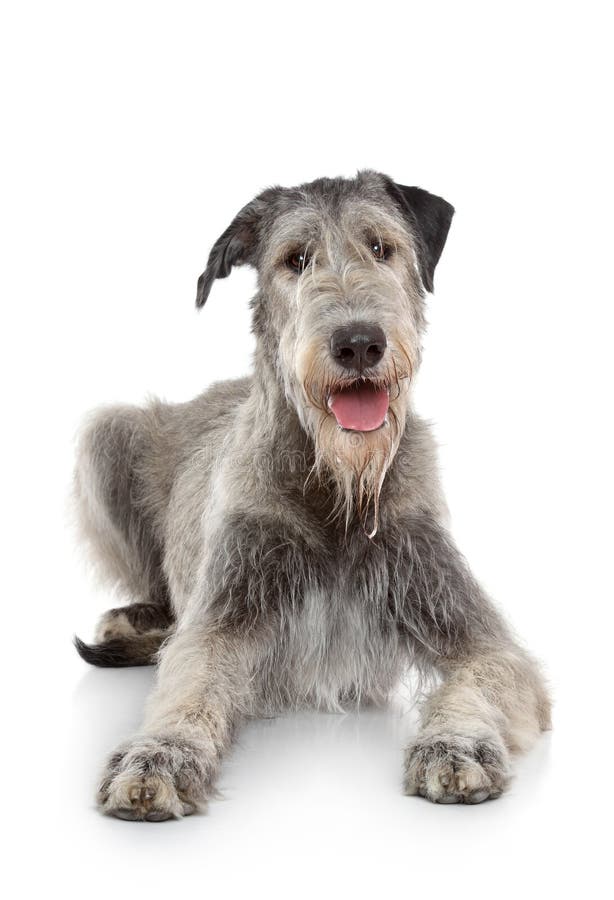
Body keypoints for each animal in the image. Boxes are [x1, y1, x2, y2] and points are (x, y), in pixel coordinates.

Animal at [73, 171, 552, 824]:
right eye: (294, 260)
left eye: (380, 247)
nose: (358, 343)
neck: (338, 487)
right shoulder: (227, 606)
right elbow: (190, 677)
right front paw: (160, 754)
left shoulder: (457, 610)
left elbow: (483, 673)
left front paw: (455, 743)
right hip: (106, 433)